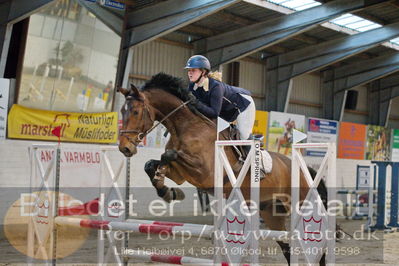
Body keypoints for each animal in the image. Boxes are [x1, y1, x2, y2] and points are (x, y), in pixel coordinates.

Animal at [117, 72, 330, 264]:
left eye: (135, 112)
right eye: (121, 111)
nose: (124, 148)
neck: (185, 126)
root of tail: (303, 170)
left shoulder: (205, 173)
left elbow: (168, 155)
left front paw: (166, 187)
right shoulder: (180, 174)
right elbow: (152, 164)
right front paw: (167, 190)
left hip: (301, 205)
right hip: (272, 213)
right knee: (287, 247)